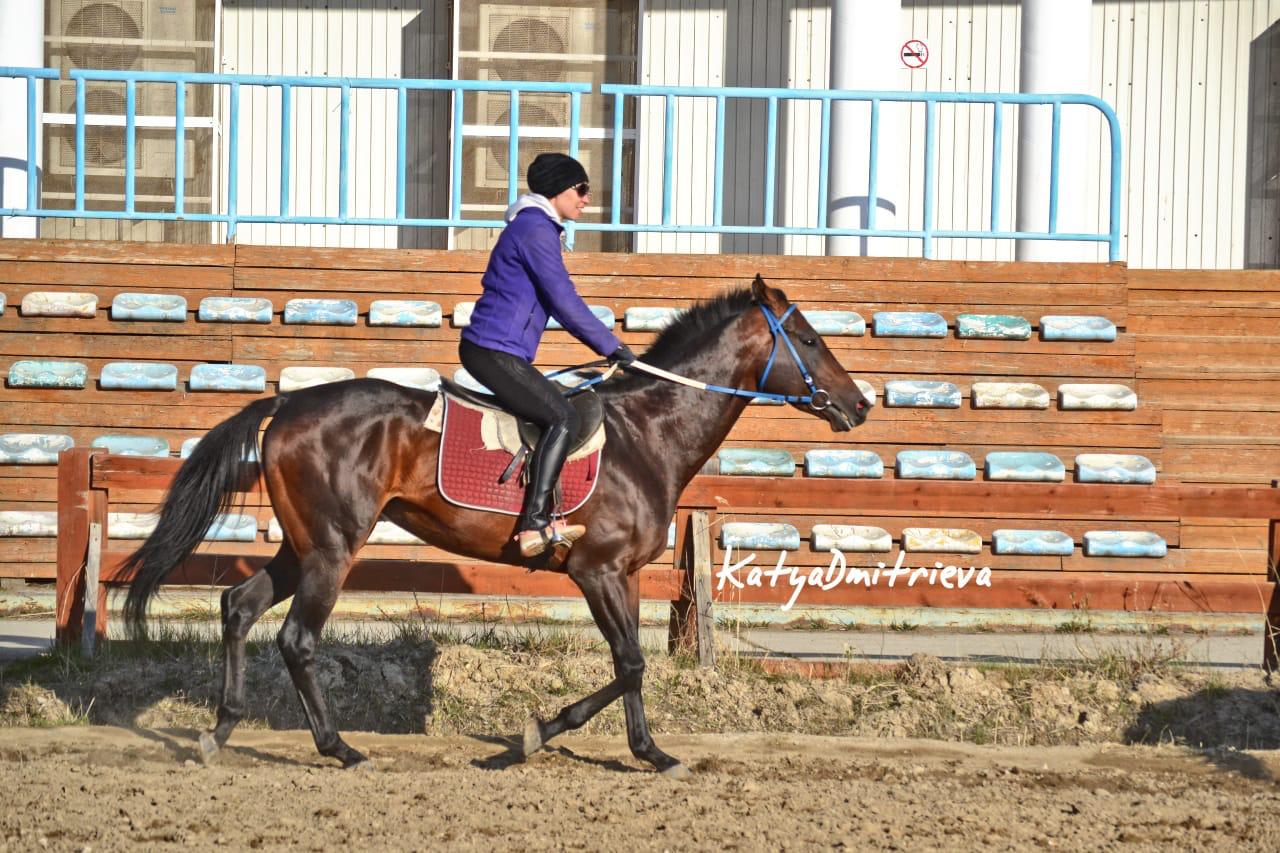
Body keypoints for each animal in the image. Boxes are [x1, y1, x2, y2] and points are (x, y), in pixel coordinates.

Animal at [124, 275, 875, 773]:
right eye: (808, 339)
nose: (860, 404)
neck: (648, 433)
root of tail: (286, 404)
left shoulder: (625, 575)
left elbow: (630, 664)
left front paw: (650, 751)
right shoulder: (595, 571)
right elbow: (630, 662)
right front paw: (536, 736)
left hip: (305, 544)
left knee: (238, 605)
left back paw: (221, 729)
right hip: (333, 548)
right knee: (297, 638)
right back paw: (338, 747)